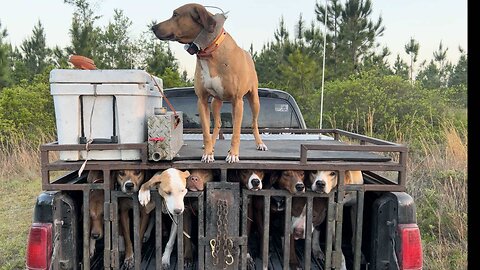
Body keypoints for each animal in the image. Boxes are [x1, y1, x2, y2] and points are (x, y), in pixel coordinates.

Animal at [152, 2, 268, 162]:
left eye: (175, 14)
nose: (153, 27)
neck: (210, 51)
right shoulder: (202, 100)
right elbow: (206, 131)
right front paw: (208, 153)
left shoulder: (237, 100)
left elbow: (236, 133)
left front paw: (233, 154)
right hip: (215, 102)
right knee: (218, 123)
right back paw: (212, 145)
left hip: (253, 100)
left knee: (253, 123)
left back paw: (259, 143)